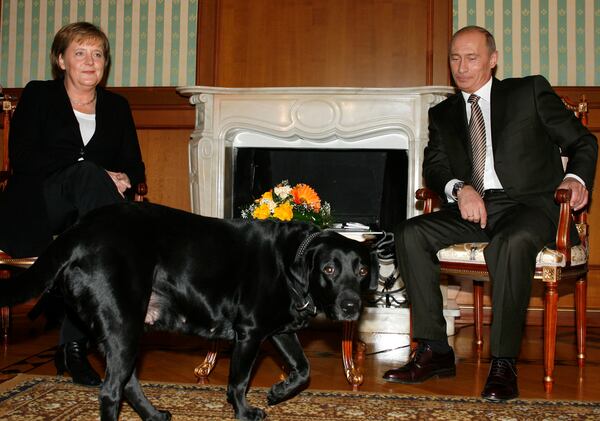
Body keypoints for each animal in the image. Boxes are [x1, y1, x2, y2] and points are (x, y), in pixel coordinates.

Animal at [0, 202, 378, 418]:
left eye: (361, 270)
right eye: (328, 269)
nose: (351, 306)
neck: (291, 259)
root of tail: (78, 231)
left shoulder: (279, 331)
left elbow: (303, 370)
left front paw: (277, 392)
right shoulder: (250, 332)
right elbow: (238, 382)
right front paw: (245, 412)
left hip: (125, 331)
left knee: (127, 382)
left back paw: (154, 416)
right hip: (123, 325)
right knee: (110, 391)